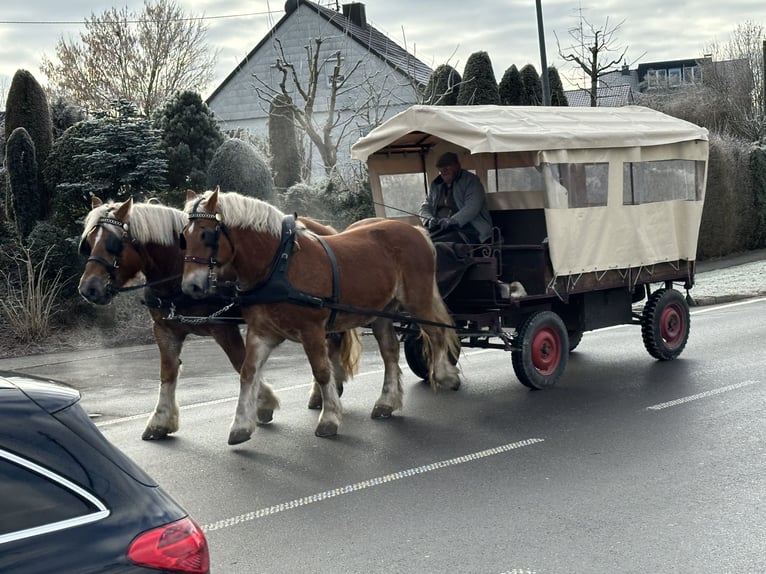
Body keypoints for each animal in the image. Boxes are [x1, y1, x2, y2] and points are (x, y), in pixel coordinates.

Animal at [78, 196, 360, 444]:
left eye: (114, 243)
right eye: (89, 242)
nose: (88, 288)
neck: (178, 270)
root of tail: (326, 230)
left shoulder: (223, 327)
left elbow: (239, 363)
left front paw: (263, 404)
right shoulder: (165, 329)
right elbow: (167, 373)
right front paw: (160, 421)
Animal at [180, 189, 462, 446]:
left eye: (206, 234)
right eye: (184, 237)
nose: (190, 286)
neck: (278, 265)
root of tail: (416, 230)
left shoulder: (312, 330)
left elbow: (322, 371)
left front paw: (329, 418)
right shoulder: (261, 333)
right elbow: (248, 372)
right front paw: (241, 425)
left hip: (417, 301)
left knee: (436, 333)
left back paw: (444, 375)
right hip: (381, 311)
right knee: (390, 351)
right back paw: (387, 401)